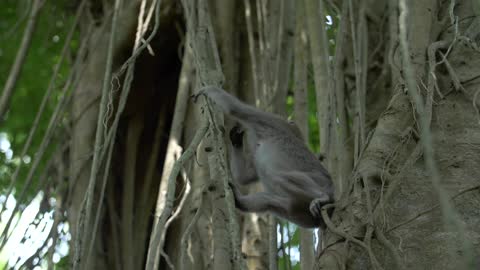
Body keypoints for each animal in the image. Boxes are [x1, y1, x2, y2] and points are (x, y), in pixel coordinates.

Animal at [193, 86, 336, 228]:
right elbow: (245, 177)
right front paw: (236, 139)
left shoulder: (270, 121)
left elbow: (235, 108)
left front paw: (209, 90)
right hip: (301, 210)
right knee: (276, 202)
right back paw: (239, 201)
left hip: (322, 183)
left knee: (278, 177)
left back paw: (322, 197)